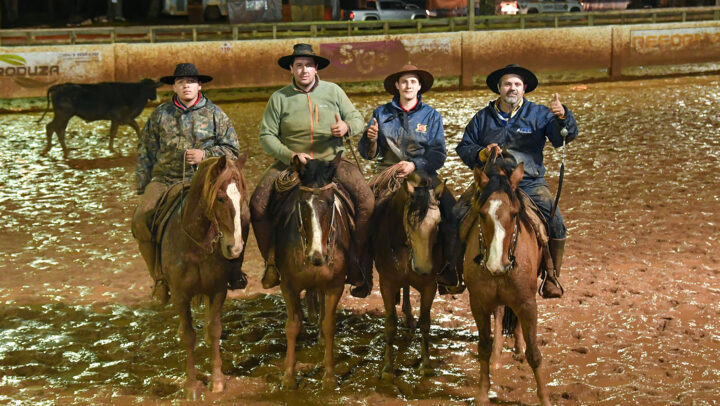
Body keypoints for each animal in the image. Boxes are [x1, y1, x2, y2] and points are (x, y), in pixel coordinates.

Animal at [159, 153, 249, 400]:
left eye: (242, 199)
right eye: (220, 198)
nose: (235, 248)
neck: (195, 245)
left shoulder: (217, 291)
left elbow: (214, 330)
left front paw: (217, 380)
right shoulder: (180, 295)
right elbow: (189, 336)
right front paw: (191, 385)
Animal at [272, 152, 352, 390]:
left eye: (330, 201)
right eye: (302, 203)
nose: (317, 256)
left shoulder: (335, 285)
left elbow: (329, 324)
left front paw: (329, 375)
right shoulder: (288, 286)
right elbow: (292, 326)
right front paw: (289, 376)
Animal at [372, 170, 444, 380]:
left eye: (438, 223)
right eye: (411, 222)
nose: (423, 267)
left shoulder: (429, 286)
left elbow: (425, 323)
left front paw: (426, 364)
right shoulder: (386, 284)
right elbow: (390, 324)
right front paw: (387, 368)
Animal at [462, 152, 552, 406]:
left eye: (514, 213)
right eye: (482, 214)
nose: (496, 265)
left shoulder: (527, 303)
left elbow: (534, 353)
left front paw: (545, 398)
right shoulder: (478, 303)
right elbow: (483, 346)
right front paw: (482, 394)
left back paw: (517, 347)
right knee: (501, 315)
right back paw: (497, 355)